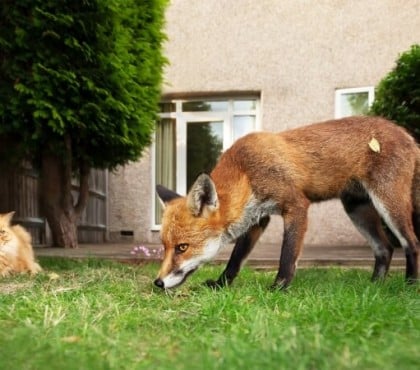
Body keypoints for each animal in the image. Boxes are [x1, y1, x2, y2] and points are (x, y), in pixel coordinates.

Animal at [155, 117, 420, 290]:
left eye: (182, 247)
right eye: (164, 247)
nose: (157, 282)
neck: (246, 170)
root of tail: (408, 135)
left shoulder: (296, 205)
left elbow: (287, 254)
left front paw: (279, 287)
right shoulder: (258, 219)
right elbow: (235, 259)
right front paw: (221, 284)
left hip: (388, 203)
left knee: (411, 243)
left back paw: (409, 286)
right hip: (357, 210)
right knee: (385, 248)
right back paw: (375, 287)